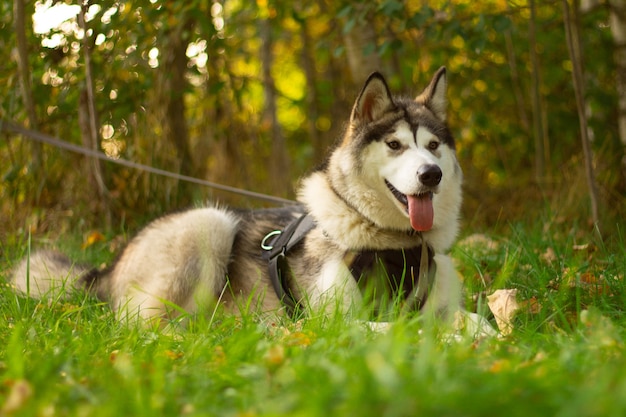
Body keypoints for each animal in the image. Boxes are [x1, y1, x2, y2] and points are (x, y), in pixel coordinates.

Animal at [11, 67, 464, 324]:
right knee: (145, 329)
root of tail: (107, 268)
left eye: (433, 146)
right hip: (208, 223)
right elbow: (405, 331)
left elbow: (466, 320)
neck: (393, 243)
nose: (431, 174)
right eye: (394, 145)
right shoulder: (336, 326)